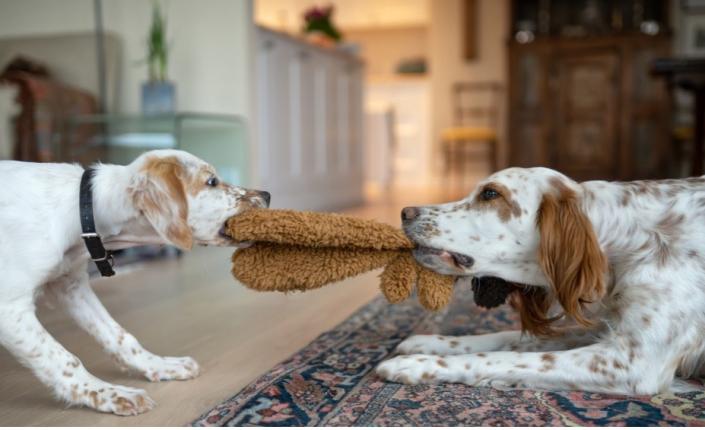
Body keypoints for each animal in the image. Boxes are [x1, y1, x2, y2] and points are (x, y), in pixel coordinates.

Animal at [0, 149, 268, 414]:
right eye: (211, 181)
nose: (267, 194)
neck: (80, 213)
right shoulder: (10, 310)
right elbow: (63, 358)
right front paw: (107, 394)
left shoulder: (70, 285)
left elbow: (118, 335)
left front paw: (160, 366)